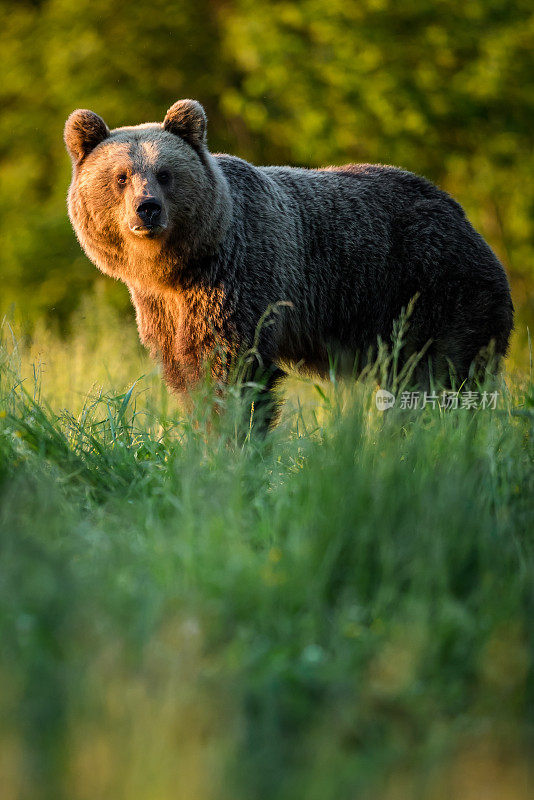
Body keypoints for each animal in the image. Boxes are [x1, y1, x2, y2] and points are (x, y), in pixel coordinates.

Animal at [65, 100, 516, 428]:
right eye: (121, 176)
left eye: (164, 173)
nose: (148, 209)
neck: (177, 268)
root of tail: (460, 215)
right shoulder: (164, 310)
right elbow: (188, 373)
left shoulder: (238, 282)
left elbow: (234, 369)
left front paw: (235, 440)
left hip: (434, 289)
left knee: (442, 375)